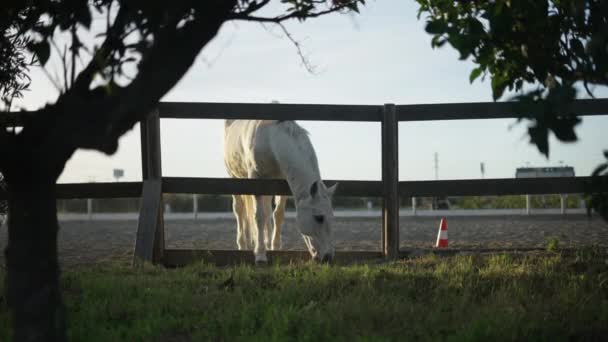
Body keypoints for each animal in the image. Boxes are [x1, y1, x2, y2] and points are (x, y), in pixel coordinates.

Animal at [223, 119, 338, 264]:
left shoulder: (281, 181)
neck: (270, 138)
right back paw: (243, 245)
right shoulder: (256, 179)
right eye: (319, 218)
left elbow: (277, 215)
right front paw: (260, 255)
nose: (328, 257)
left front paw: (275, 247)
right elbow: (258, 217)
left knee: (267, 210)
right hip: (233, 176)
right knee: (239, 210)